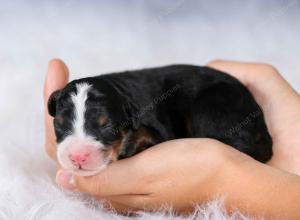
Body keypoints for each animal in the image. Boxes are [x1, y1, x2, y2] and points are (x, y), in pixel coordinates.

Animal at [48, 64, 274, 176]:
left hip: (211, 107)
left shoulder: (159, 130)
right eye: (59, 123)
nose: (77, 157)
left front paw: (131, 144)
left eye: (108, 126)